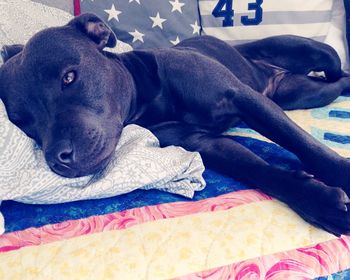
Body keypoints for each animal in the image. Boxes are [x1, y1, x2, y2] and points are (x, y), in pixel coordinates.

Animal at [0, 13, 350, 236]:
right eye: (23, 121)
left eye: (69, 78)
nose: (56, 158)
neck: (149, 95)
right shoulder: (205, 143)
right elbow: (260, 171)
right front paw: (315, 199)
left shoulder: (245, 98)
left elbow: (304, 144)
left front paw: (339, 174)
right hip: (306, 92)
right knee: (334, 83)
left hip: (318, 54)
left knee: (336, 70)